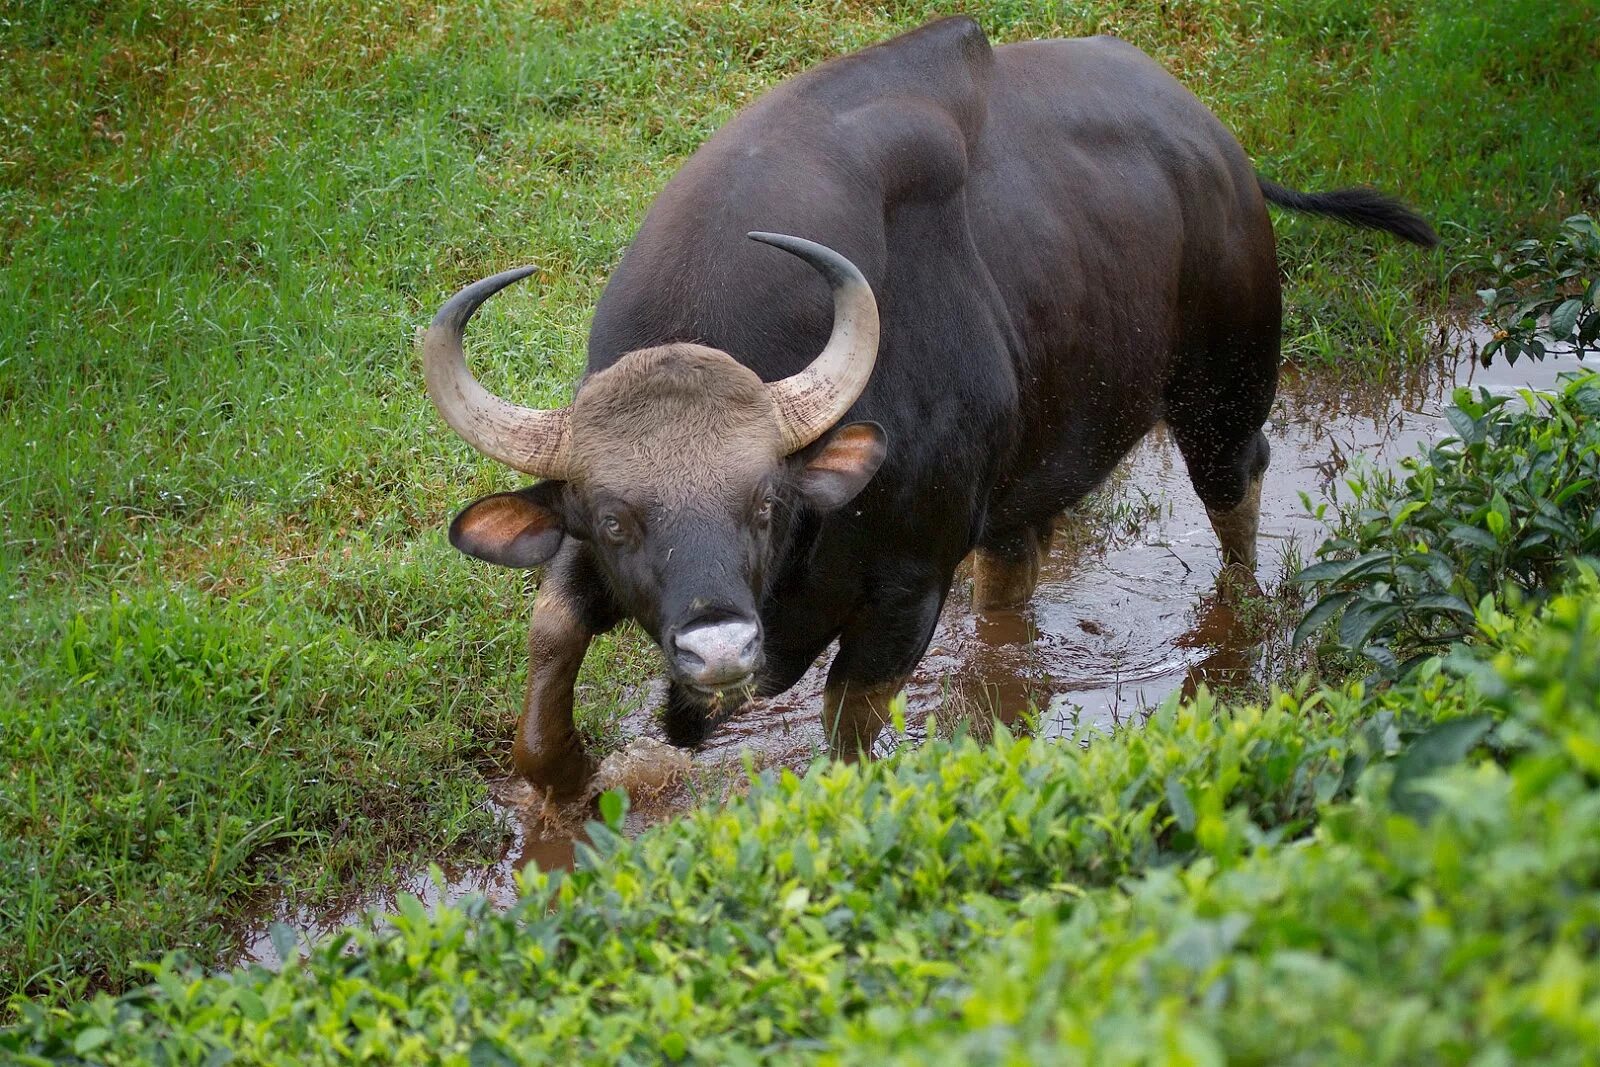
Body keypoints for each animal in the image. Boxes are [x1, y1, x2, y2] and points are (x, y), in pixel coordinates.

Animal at [419, 14, 1433, 793]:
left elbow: (847, 729)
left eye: (765, 502)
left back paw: (1236, 627)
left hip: (1224, 390)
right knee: (1016, 564)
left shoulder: (907, 589)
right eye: (617, 519)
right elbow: (552, 633)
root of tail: (1219, 148)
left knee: (1237, 487)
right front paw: (564, 776)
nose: (719, 648)